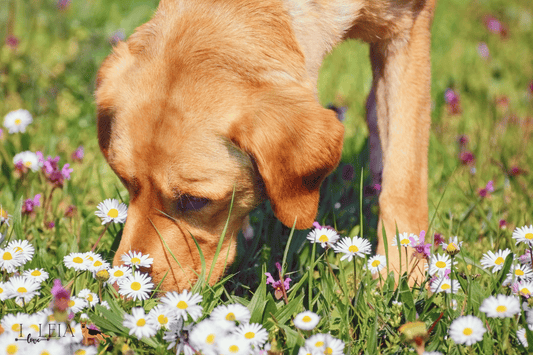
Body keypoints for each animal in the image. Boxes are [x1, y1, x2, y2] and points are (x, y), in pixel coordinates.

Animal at [96, 0, 432, 292]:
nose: (121, 291)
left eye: (194, 201)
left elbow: (404, 183)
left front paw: (403, 274)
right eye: (124, 180)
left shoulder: (408, 27)